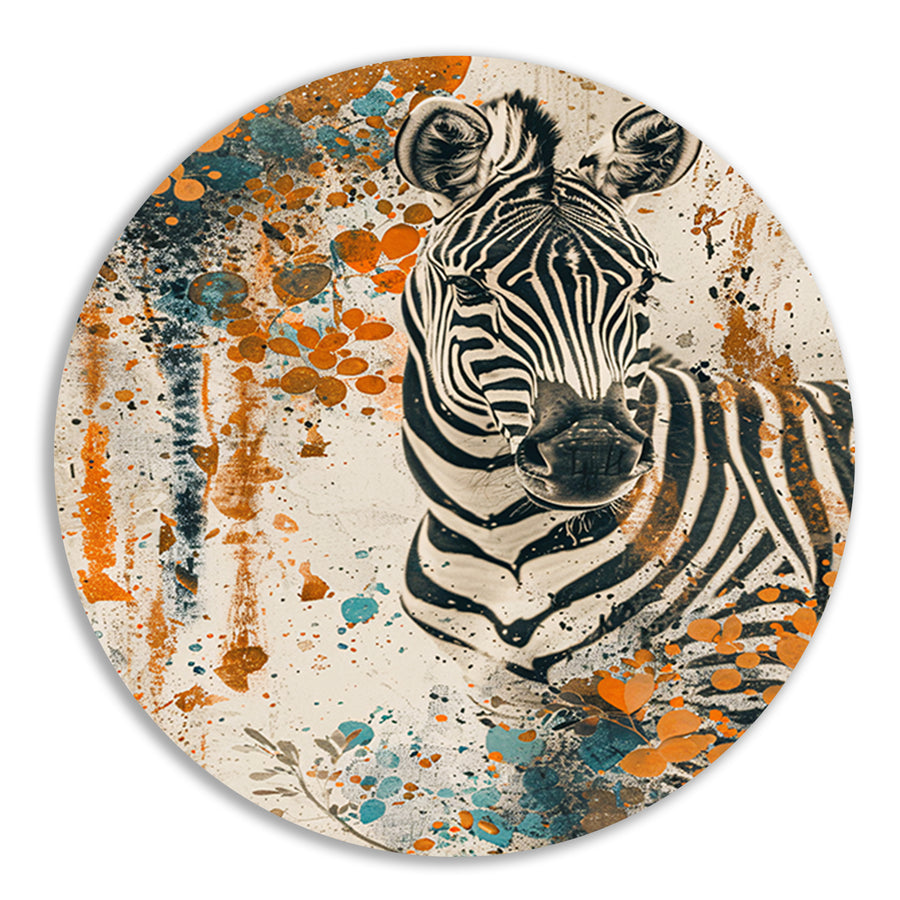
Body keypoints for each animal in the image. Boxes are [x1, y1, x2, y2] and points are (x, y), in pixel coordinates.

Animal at [393, 92, 853, 720]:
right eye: (469, 290)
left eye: (644, 289)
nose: (593, 454)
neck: (501, 542)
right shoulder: (497, 700)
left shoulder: (755, 640)